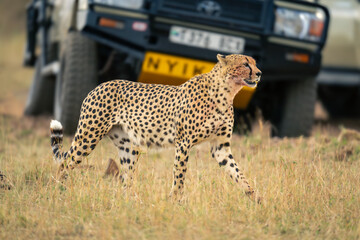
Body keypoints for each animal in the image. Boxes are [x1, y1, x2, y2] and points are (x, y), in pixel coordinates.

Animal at [50, 54, 262, 202]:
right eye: (245, 64)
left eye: (254, 62)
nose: (259, 73)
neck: (226, 93)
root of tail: (99, 86)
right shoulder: (184, 143)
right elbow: (180, 174)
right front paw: (176, 200)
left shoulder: (220, 148)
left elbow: (237, 173)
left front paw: (254, 197)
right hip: (88, 137)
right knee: (64, 164)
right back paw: (58, 191)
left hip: (129, 148)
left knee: (127, 180)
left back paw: (133, 202)